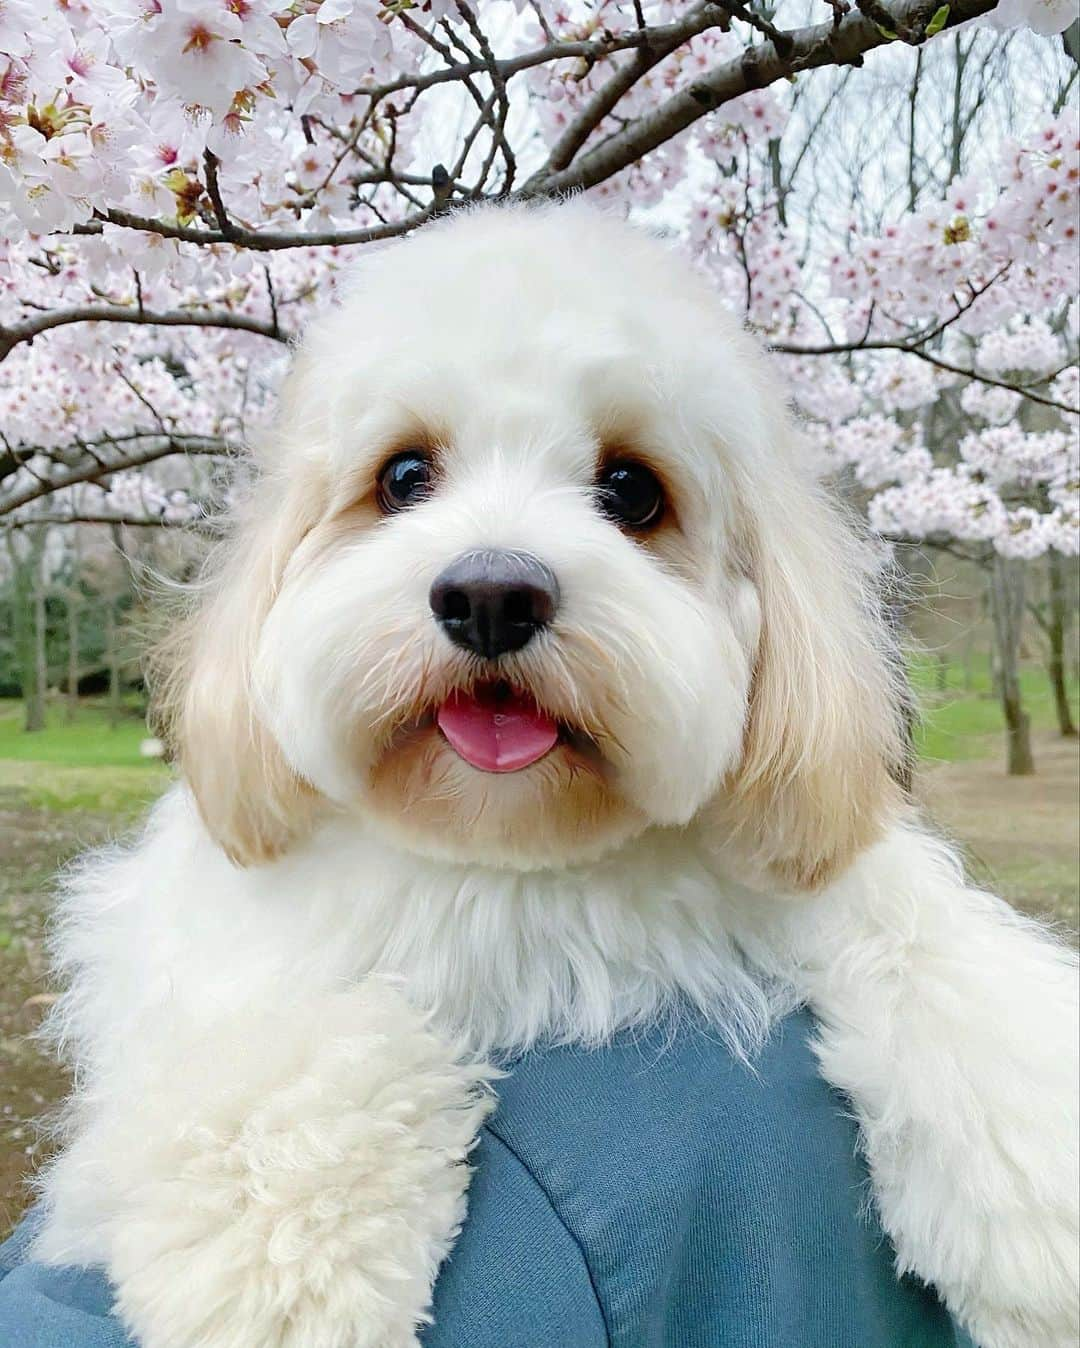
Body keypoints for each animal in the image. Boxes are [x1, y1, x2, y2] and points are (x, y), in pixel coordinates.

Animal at [29, 204, 1073, 1348]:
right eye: (403, 477)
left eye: (632, 489)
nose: (491, 594)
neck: (518, 855)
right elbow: (307, 996)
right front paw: (279, 1256)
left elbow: (922, 939)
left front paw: (1032, 1185)